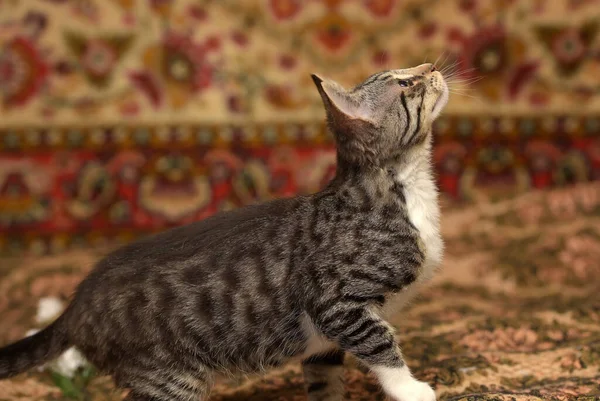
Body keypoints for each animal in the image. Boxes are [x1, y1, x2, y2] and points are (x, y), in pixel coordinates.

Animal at [0, 63, 448, 400]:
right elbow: (381, 344)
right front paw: (412, 389)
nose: (432, 66)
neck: (405, 189)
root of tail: (76, 304)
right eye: (405, 83)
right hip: (169, 377)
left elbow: (324, 383)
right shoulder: (335, 303)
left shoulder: (324, 343)